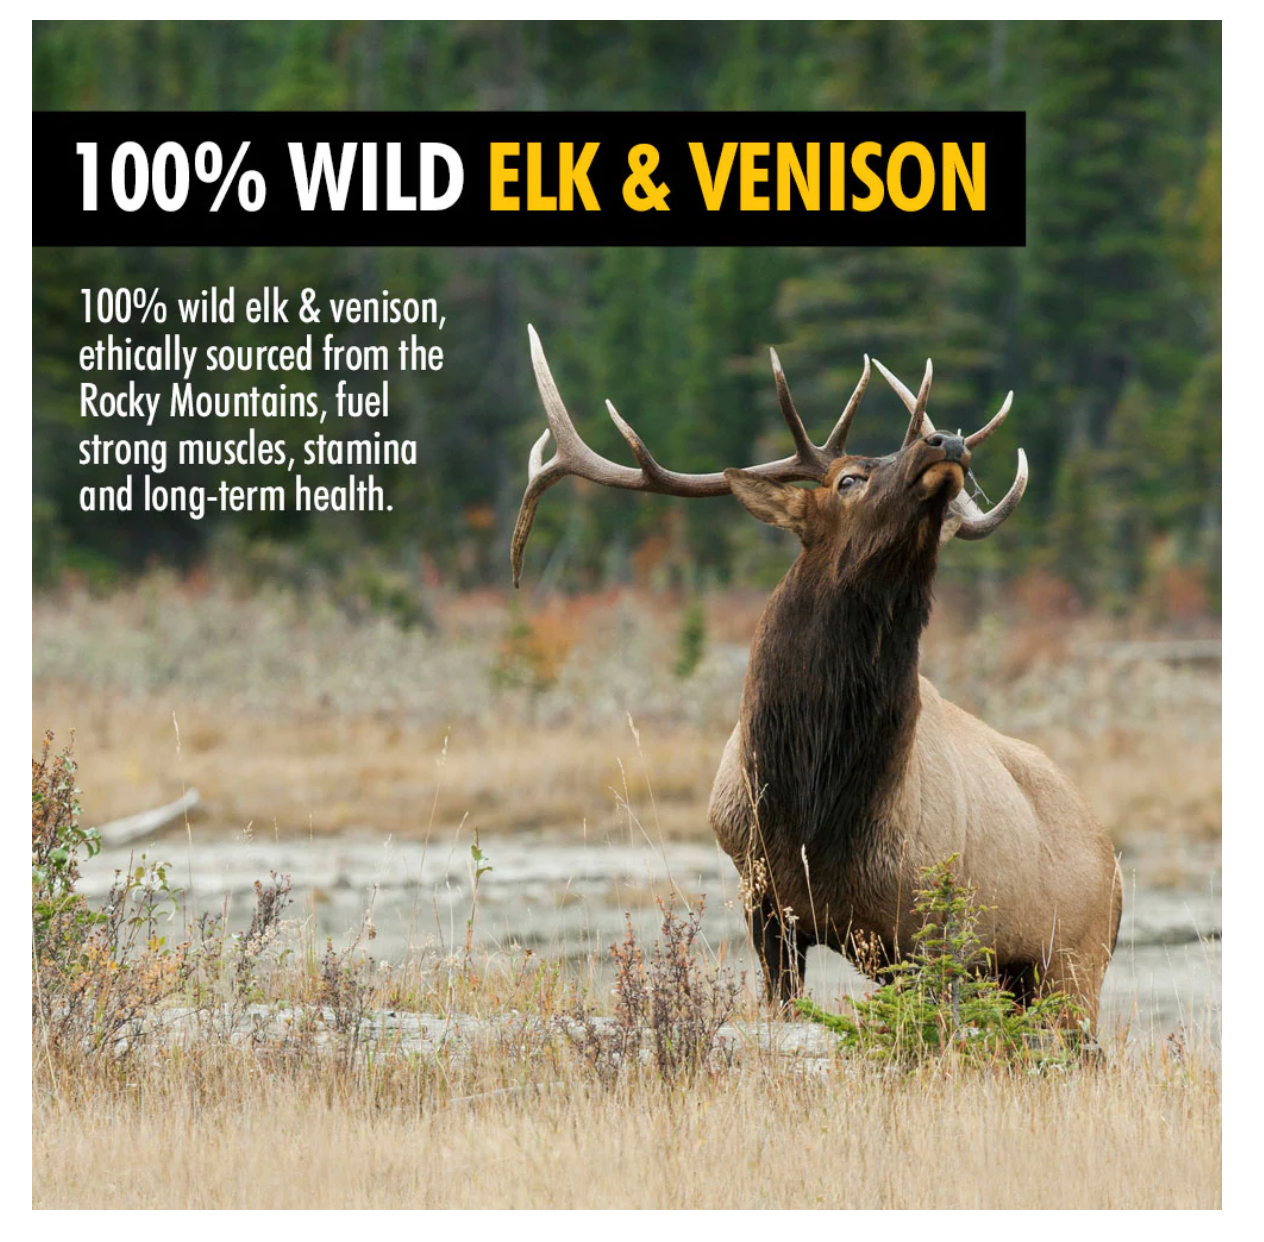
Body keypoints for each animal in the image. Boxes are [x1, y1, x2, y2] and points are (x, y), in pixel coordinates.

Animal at [511, 325, 1122, 1027]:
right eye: (848, 479)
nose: (946, 441)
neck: (810, 804)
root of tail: (1116, 869)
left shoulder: (933, 928)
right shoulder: (766, 904)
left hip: (1072, 963)